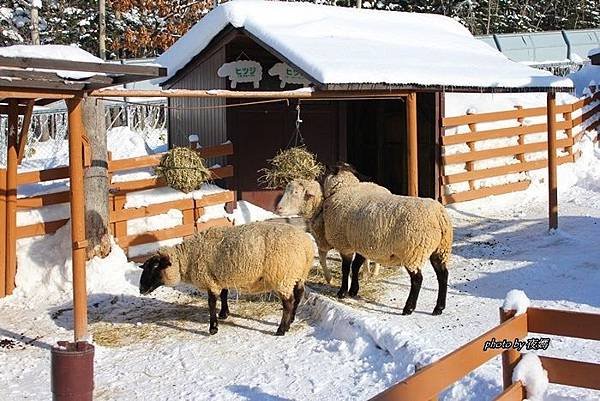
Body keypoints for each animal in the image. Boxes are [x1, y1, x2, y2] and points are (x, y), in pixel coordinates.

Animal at [139, 222, 314, 334]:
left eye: (155, 267)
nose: (141, 289)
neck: (187, 259)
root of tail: (306, 244)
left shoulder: (210, 280)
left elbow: (211, 304)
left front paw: (213, 328)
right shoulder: (219, 277)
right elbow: (224, 295)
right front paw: (224, 314)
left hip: (282, 277)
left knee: (288, 303)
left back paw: (282, 329)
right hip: (298, 274)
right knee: (298, 295)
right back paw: (291, 321)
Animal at [276, 166, 450, 316]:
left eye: (296, 192)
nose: (278, 208)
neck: (343, 189)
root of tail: (438, 214)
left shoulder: (345, 244)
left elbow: (346, 268)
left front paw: (342, 292)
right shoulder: (360, 243)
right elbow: (355, 266)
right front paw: (354, 290)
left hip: (413, 251)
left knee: (417, 280)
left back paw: (409, 308)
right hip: (439, 249)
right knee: (443, 275)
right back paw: (439, 308)